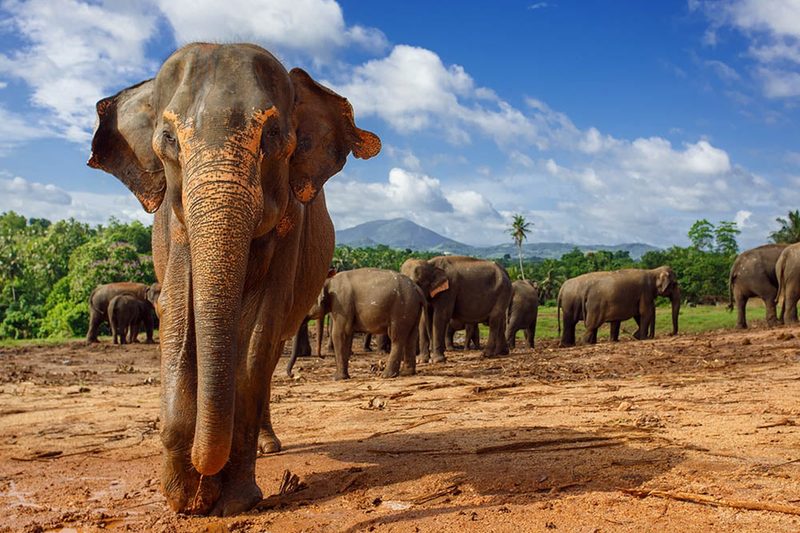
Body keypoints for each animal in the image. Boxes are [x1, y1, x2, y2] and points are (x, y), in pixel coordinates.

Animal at [88, 43, 379, 516]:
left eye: (272, 136)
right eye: (168, 139)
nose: (202, 485)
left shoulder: (291, 227)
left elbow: (258, 332)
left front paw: (234, 501)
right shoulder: (172, 223)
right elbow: (177, 311)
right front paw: (183, 498)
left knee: (269, 352)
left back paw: (268, 446)